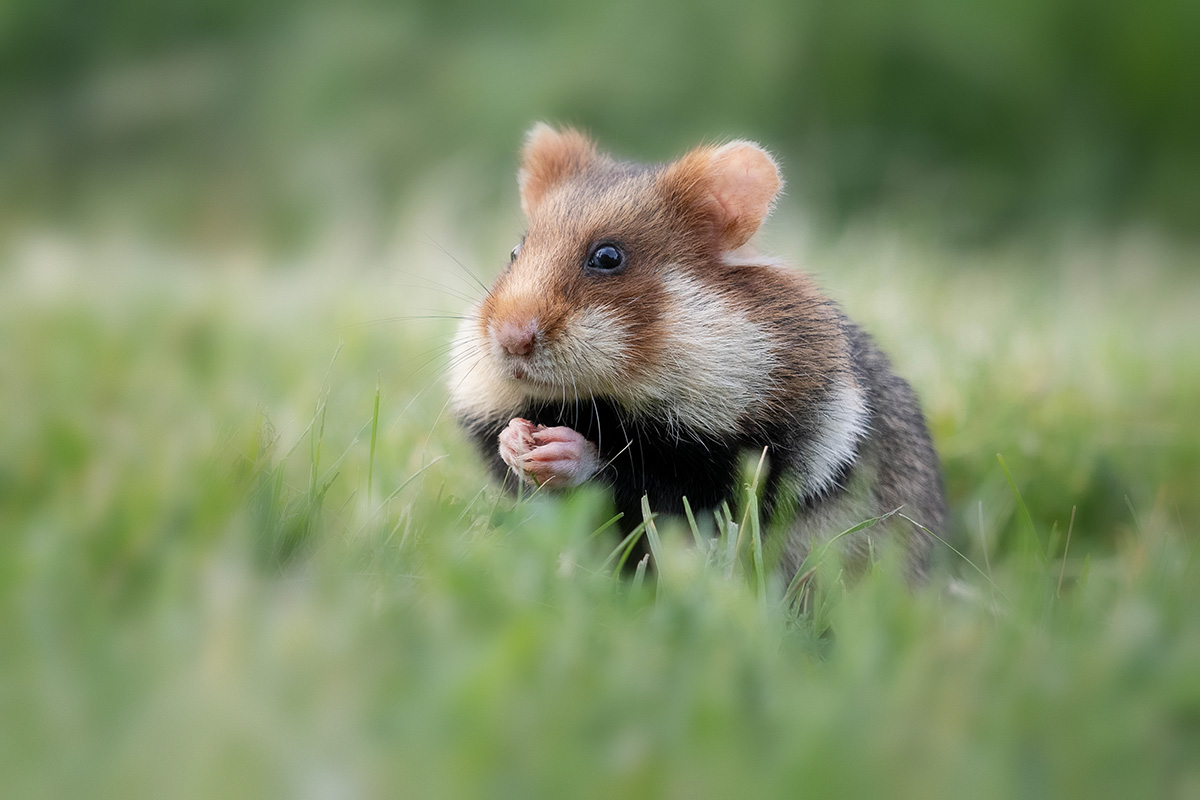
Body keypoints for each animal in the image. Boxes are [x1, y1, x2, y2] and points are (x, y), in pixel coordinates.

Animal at [451, 125, 945, 582]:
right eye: (514, 252)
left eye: (608, 257)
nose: (510, 339)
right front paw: (515, 441)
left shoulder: (755, 457)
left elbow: (656, 483)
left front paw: (561, 449)